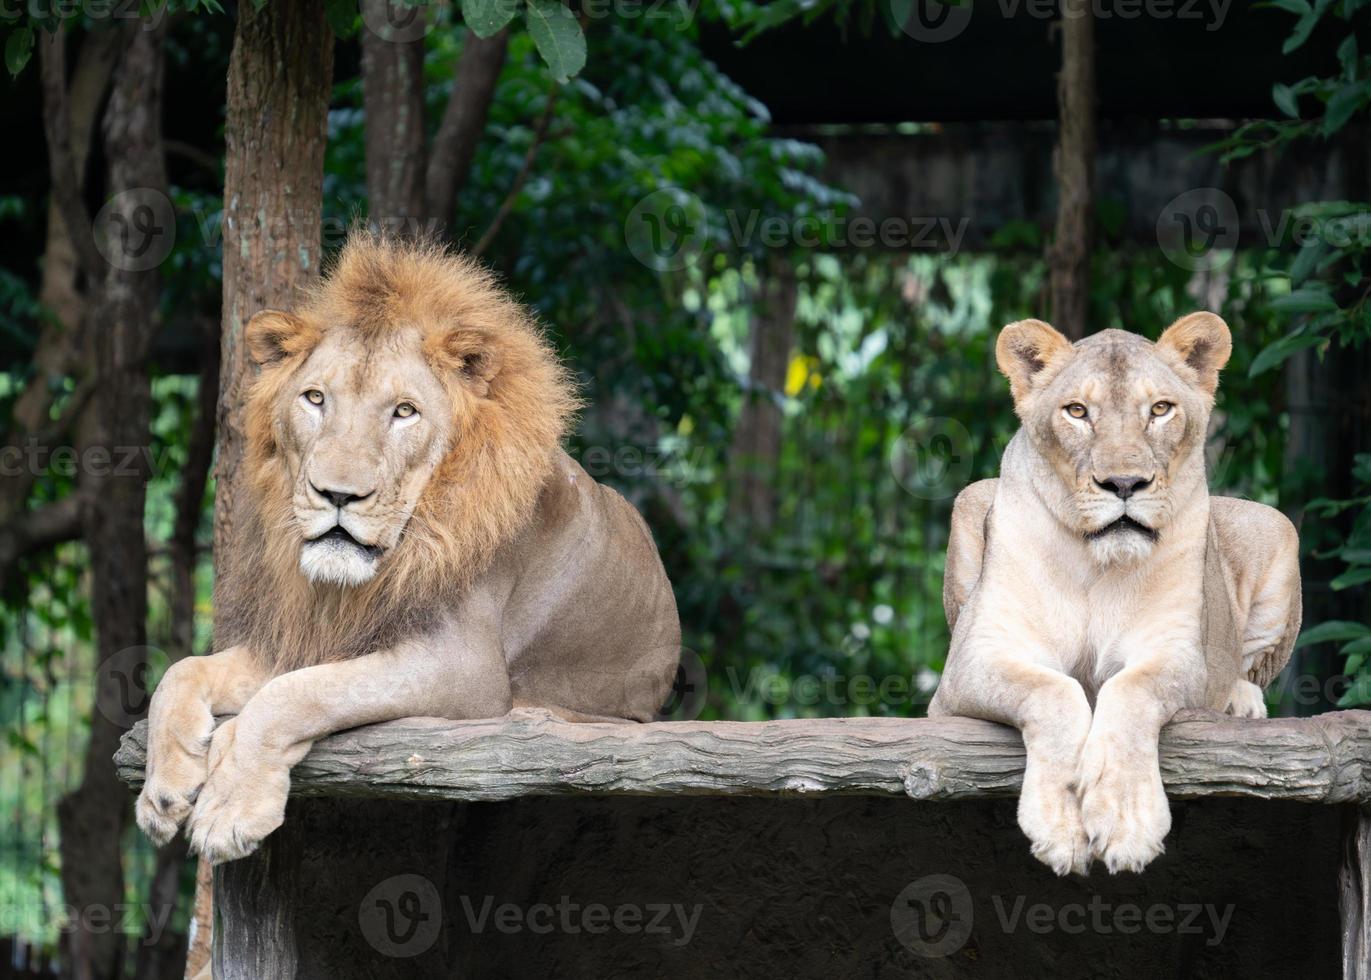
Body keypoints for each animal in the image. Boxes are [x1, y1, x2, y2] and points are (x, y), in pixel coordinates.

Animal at [133, 234, 680, 860]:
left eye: (404, 412)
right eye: (315, 398)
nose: (337, 494)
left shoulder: (462, 670)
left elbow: (296, 695)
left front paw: (230, 806)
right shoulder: (313, 635)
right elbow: (181, 673)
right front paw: (164, 788)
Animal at [932, 313, 1294, 871]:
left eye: (1160, 409)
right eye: (1078, 411)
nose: (1124, 484)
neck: (1093, 565)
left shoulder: (1176, 651)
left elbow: (1131, 690)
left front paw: (1128, 823)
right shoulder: (971, 663)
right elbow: (1053, 690)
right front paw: (1061, 826)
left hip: (1277, 526)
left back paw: (1240, 701)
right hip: (969, 498)